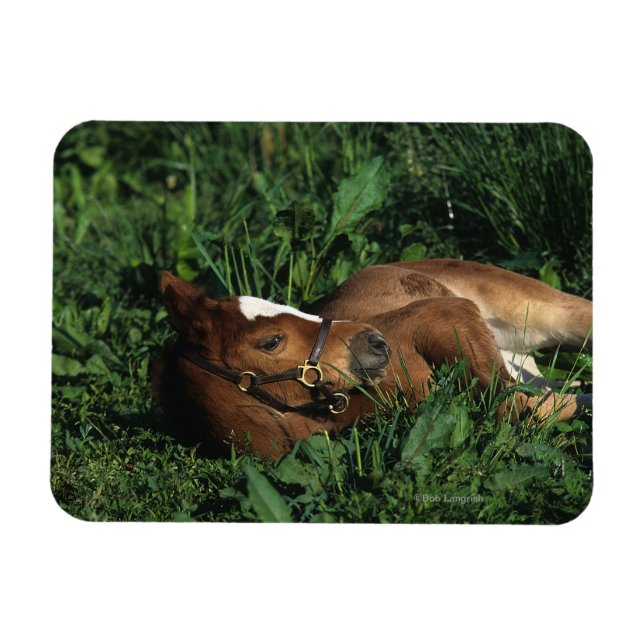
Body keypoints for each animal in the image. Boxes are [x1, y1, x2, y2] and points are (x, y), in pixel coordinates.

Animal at [152, 259, 592, 458]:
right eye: (271, 341)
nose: (376, 340)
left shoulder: (446, 314)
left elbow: (508, 404)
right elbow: (527, 408)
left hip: (547, 313)